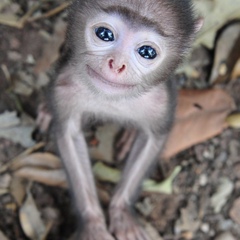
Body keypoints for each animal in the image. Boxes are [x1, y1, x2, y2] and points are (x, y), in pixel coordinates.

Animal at [51, 0, 201, 239]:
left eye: (147, 52)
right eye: (104, 34)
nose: (116, 64)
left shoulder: (160, 101)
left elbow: (153, 139)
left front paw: (122, 213)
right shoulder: (64, 86)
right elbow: (69, 136)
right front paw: (93, 225)